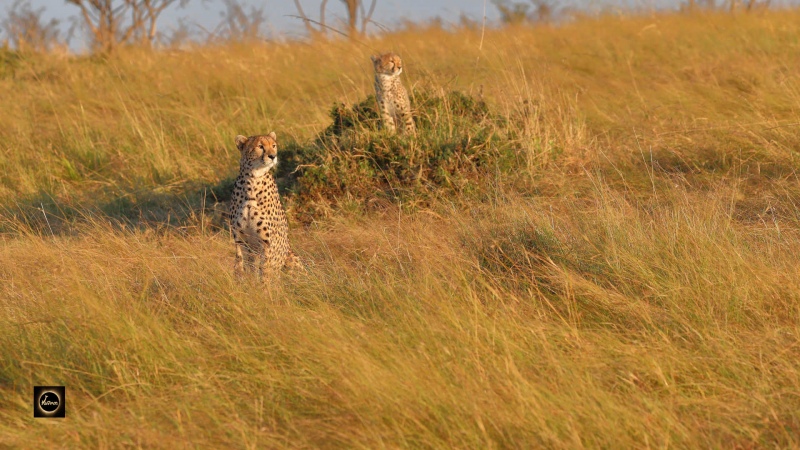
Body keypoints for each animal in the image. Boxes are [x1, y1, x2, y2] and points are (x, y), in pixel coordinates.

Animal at [229, 132, 302, 278]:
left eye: (273, 146)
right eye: (260, 146)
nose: (273, 156)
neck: (252, 180)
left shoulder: (266, 242)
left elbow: (265, 270)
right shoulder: (239, 238)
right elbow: (239, 264)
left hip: (291, 257)